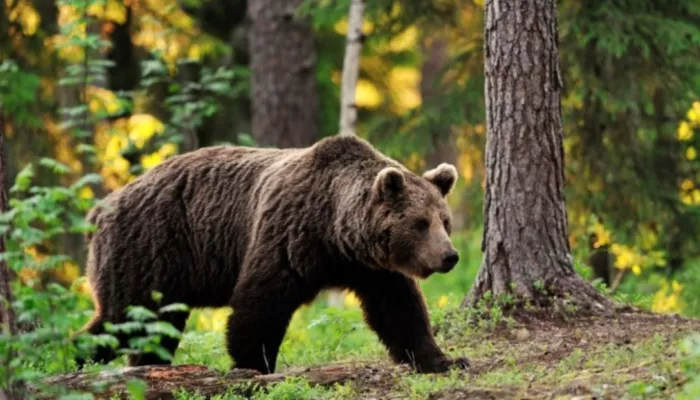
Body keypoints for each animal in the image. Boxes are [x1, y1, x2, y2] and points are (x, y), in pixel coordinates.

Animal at [76, 134, 470, 372]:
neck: (335, 232)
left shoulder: (372, 267)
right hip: (149, 248)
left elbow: (399, 311)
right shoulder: (289, 235)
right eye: (420, 223)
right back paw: (77, 356)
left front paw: (444, 360)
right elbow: (261, 303)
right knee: (124, 317)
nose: (449, 256)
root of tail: (102, 207)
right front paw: (254, 364)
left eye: (444, 221)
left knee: (153, 327)